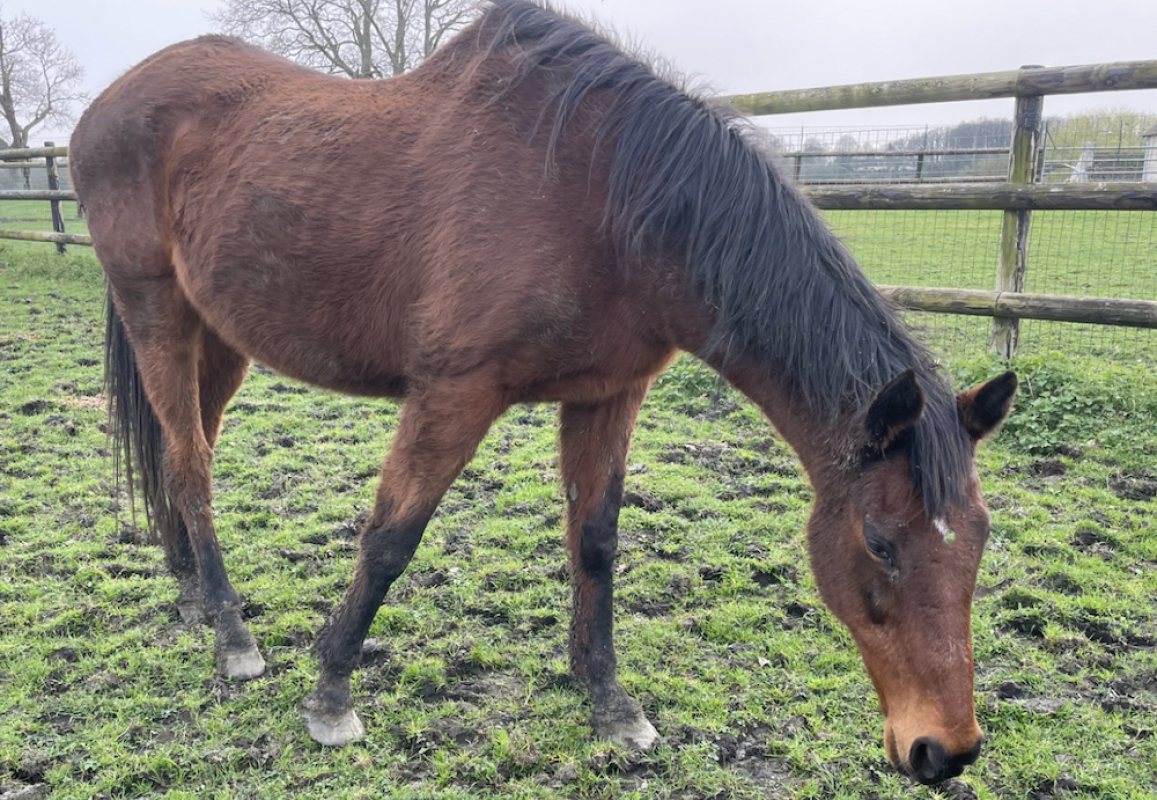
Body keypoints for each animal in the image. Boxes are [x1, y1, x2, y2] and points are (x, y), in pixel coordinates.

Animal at [69, 0, 1016, 784]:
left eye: (978, 540)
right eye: (880, 543)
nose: (943, 751)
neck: (604, 200)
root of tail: (107, 104)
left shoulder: (608, 395)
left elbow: (594, 541)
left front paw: (608, 701)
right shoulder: (452, 394)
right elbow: (390, 540)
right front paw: (331, 694)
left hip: (219, 338)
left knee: (185, 452)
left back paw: (193, 592)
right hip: (156, 311)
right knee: (190, 464)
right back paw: (232, 635)